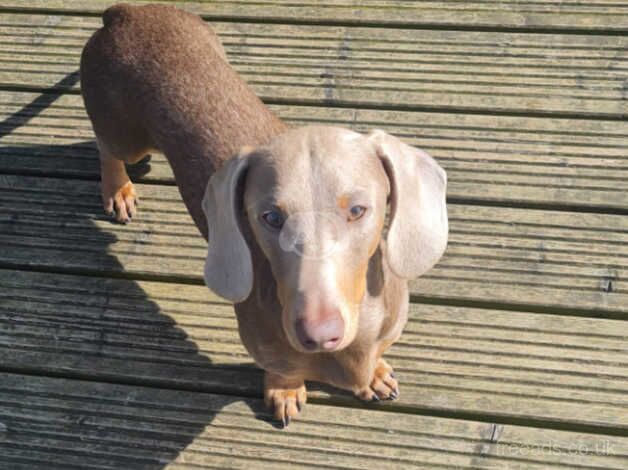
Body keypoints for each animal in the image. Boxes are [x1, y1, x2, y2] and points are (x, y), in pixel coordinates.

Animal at [82, 2, 446, 426]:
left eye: (358, 210)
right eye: (270, 217)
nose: (317, 335)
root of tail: (125, 13)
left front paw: (375, 374)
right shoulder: (263, 344)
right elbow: (281, 368)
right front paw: (285, 391)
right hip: (127, 135)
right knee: (106, 146)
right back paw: (117, 190)